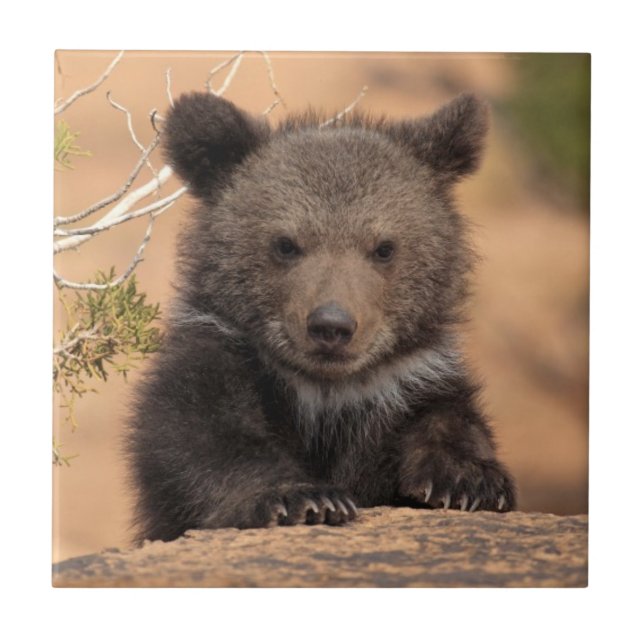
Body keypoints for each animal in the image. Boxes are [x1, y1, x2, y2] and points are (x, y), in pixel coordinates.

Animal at [126, 91, 517, 543]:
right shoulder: (222, 359)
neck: (327, 395)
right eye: (285, 244)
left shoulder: (409, 381)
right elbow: (201, 436)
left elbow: (447, 419)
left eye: (384, 247)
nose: (332, 325)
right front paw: (303, 497)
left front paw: (468, 481)